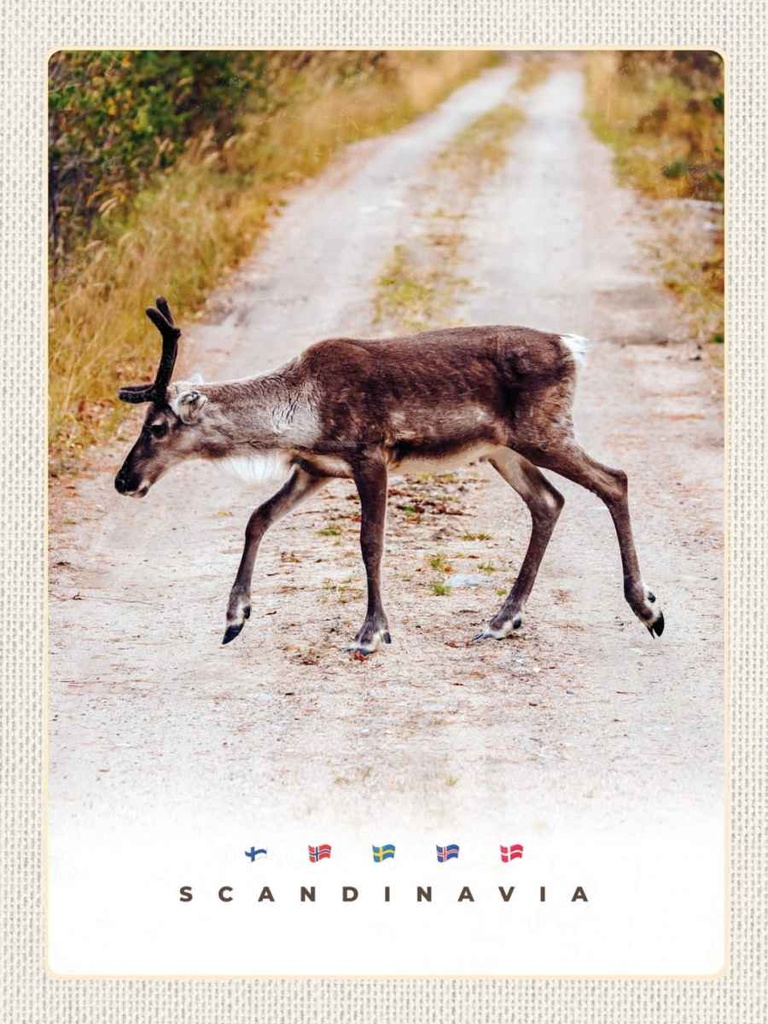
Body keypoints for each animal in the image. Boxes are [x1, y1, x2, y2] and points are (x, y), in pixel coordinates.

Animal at [115, 298, 664, 654]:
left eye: (157, 427)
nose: (123, 481)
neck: (299, 411)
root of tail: (572, 347)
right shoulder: (315, 469)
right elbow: (257, 519)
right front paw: (235, 618)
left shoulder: (370, 456)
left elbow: (370, 543)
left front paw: (370, 634)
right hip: (502, 449)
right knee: (549, 502)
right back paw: (502, 620)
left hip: (544, 432)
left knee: (614, 479)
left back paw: (648, 610)